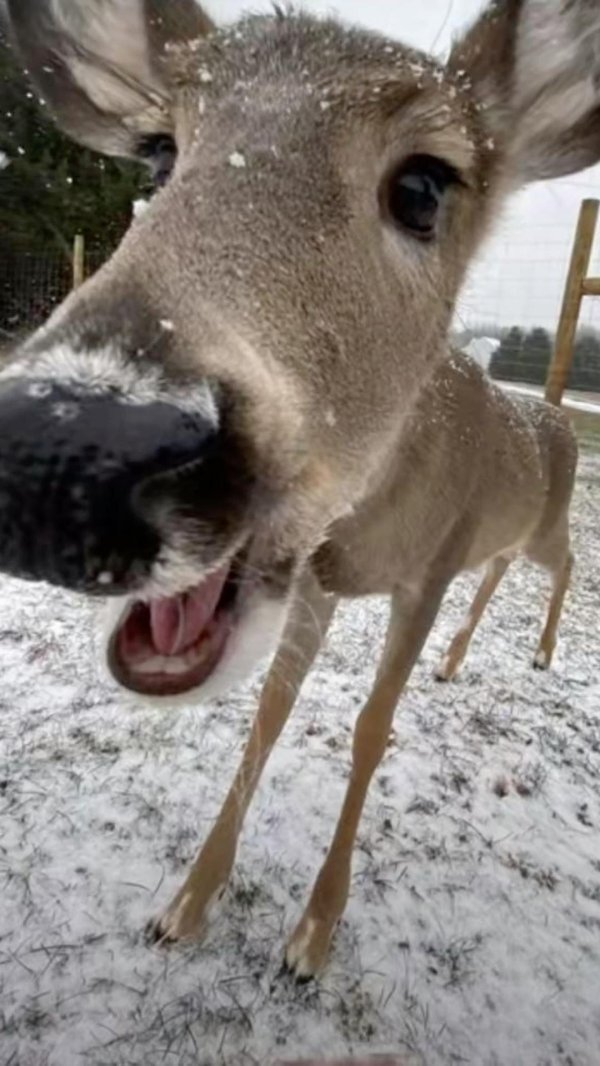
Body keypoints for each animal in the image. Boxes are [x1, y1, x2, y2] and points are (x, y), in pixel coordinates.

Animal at [0, 0, 594, 980]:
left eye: (424, 186)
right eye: (157, 154)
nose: (64, 449)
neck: (373, 522)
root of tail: (554, 415)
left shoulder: (429, 568)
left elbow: (371, 728)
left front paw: (312, 936)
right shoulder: (315, 578)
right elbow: (268, 715)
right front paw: (185, 906)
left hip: (535, 529)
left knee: (567, 561)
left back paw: (541, 652)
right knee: (506, 569)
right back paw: (458, 661)